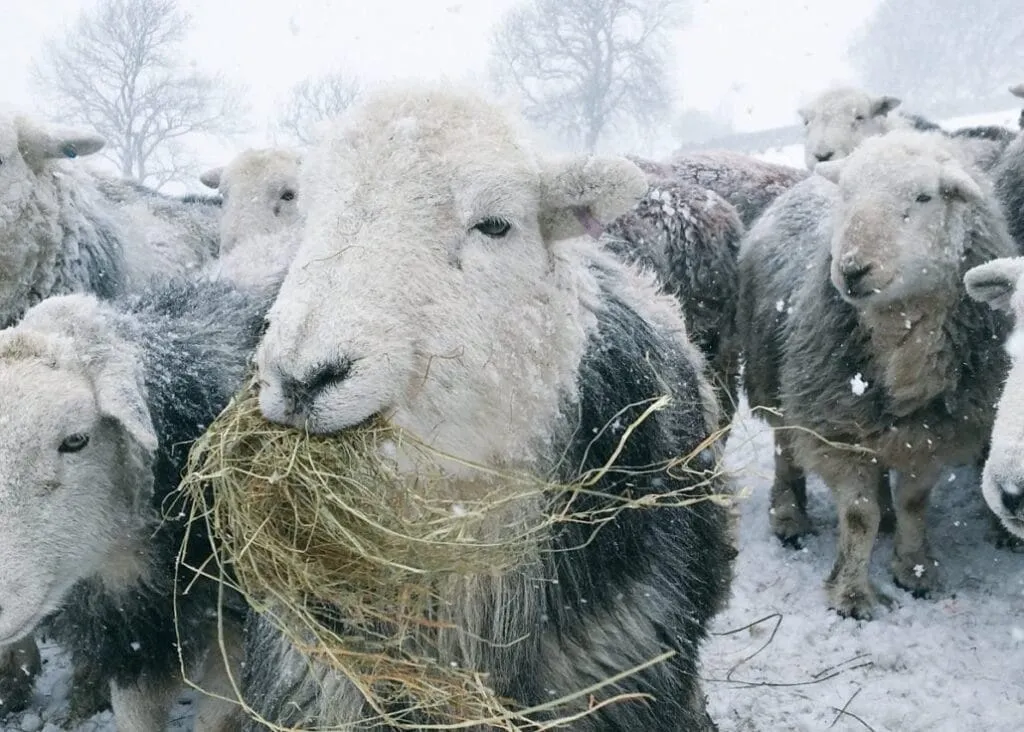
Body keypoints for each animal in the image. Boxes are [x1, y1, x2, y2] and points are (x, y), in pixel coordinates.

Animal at [738, 129, 1016, 620]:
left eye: (924, 197)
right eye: (846, 194)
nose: (851, 270)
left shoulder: (933, 431)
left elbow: (913, 503)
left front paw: (915, 569)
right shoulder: (836, 428)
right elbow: (857, 514)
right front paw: (851, 593)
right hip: (774, 376)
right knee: (785, 447)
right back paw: (789, 516)